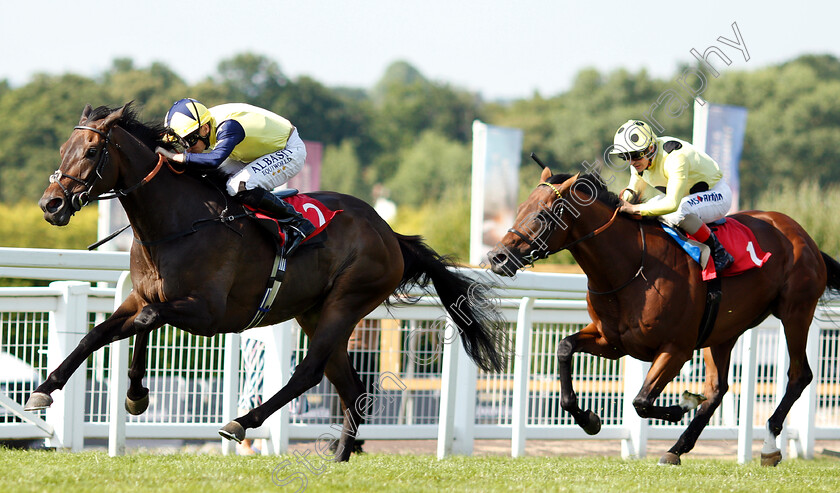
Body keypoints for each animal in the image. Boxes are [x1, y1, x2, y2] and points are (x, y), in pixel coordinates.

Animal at [24, 104, 506, 462]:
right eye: (64, 147)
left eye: (90, 152)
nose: (51, 204)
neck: (175, 222)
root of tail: (390, 233)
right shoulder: (143, 295)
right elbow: (101, 334)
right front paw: (50, 391)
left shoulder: (208, 314)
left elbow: (145, 320)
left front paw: (136, 393)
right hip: (315, 311)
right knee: (350, 385)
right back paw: (339, 457)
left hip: (347, 301)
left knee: (308, 373)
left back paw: (243, 422)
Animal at [486, 166, 840, 466]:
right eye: (519, 208)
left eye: (543, 214)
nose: (497, 256)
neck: (631, 267)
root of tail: (803, 235)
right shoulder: (612, 342)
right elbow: (564, 348)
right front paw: (589, 419)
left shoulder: (676, 348)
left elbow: (641, 401)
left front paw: (681, 404)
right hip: (723, 332)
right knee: (718, 389)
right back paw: (676, 449)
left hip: (795, 312)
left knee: (799, 375)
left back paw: (768, 447)